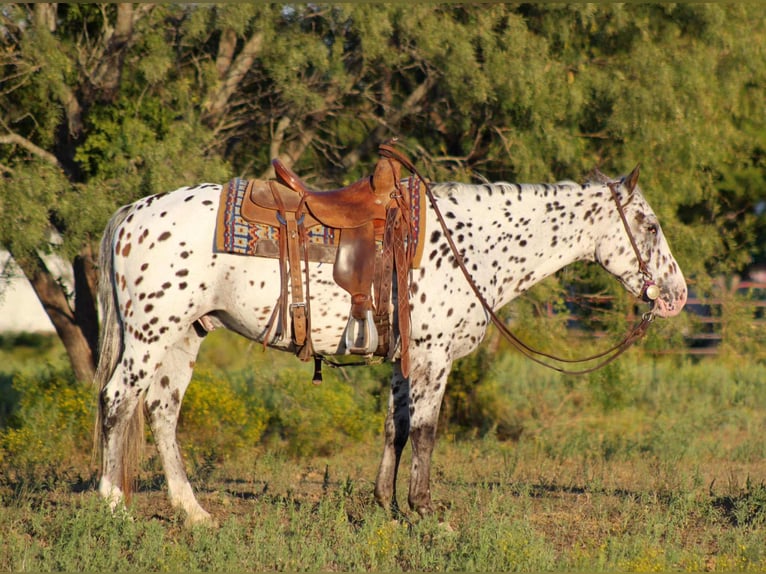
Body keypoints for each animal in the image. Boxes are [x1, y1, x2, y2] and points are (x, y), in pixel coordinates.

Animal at [94, 164, 687, 525]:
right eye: (650, 226)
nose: (677, 295)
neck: (471, 245)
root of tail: (131, 215)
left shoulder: (407, 359)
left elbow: (394, 428)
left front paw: (385, 505)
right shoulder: (433, 357)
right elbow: (425, 432)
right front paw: (425, 512)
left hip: (182, 338)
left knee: (162, 412)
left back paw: (193, 512)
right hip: (149, 335)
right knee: (117, 401)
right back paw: (114, 505)